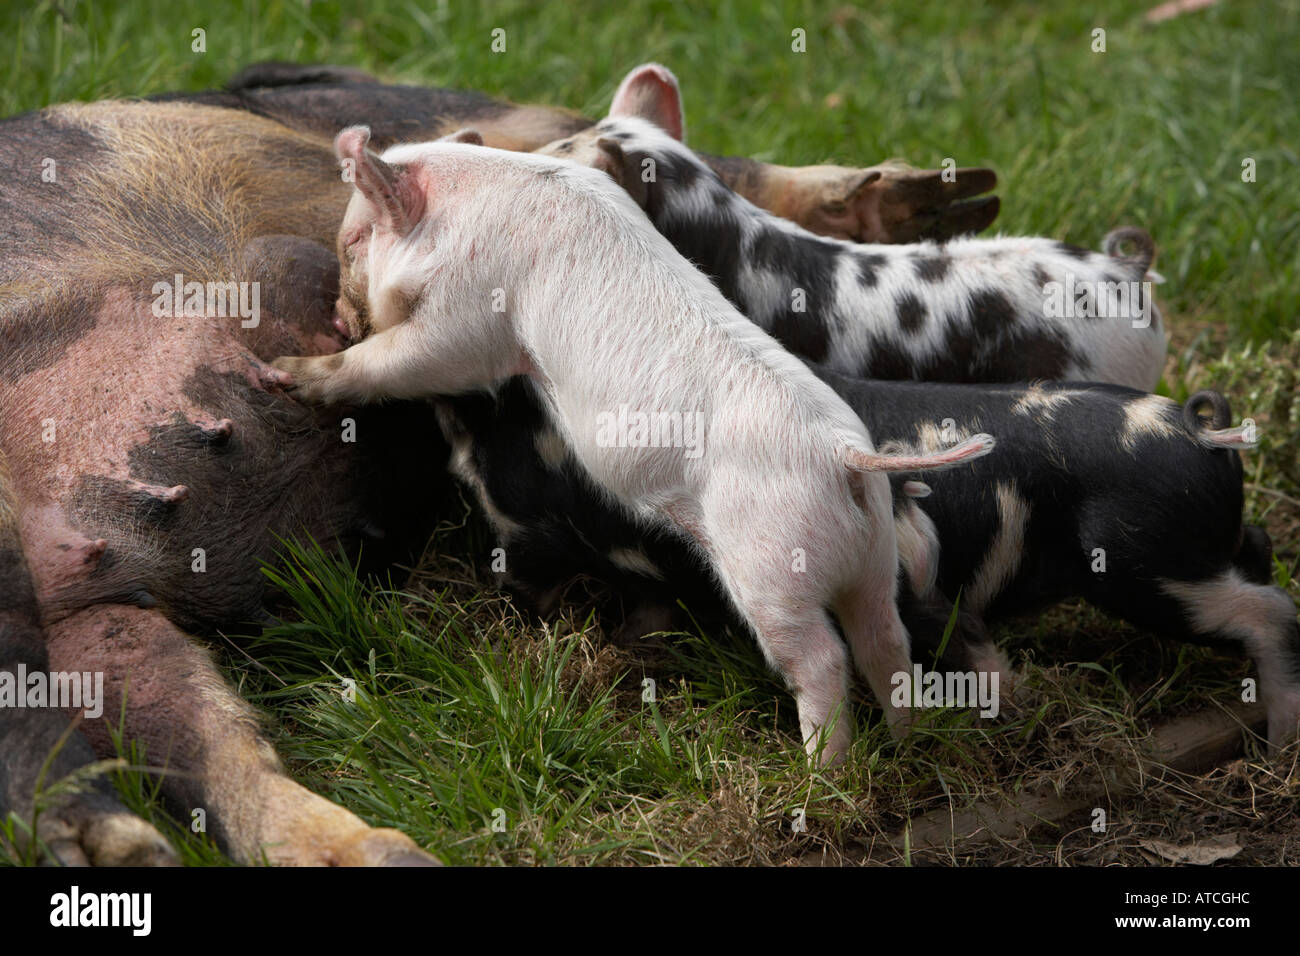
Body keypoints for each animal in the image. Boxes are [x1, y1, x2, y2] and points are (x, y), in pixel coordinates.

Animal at [272, 127, 997, 763]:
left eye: (355, 240)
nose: (336, 318)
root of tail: (848, 460)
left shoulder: (468, 316)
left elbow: (406, 361)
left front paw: (284, 374)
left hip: (771, 564)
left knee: (823, 660)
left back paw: (822, 775)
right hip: (873, 562)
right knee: (886, 641)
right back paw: (908, 745)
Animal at [432, 372, 1300, 749]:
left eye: (488, 475)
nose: (501, 588)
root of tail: (1195, 427)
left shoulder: (916, 577)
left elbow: (963, 649)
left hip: (1146, 566)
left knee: (1273, 611)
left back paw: (1283, 736)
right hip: (1198, 551)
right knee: (1260, 555)